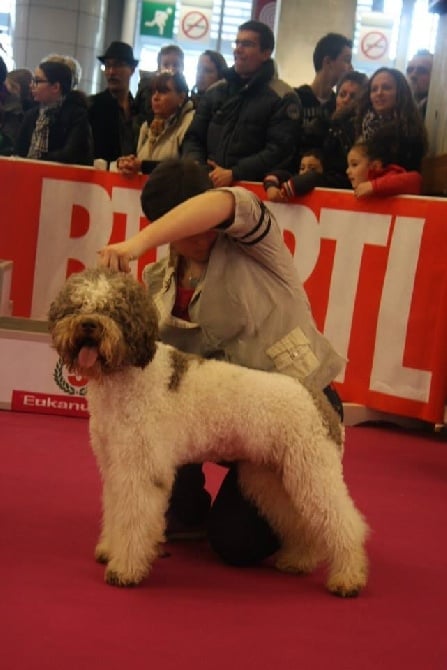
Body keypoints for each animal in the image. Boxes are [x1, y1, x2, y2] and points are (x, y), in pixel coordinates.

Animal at [50, 268, 372, 600]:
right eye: (77, 305)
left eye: (114, 309)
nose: (89, 324)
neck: (126, 375)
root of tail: (314, 395)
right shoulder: (115, 464)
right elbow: (116, 510)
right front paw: (108, 550)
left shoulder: (140, 469)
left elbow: (133, 518)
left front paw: (124, 569)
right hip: (272, 476)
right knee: (300, 520)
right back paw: (299, 560)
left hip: (312, 471)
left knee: (344, 522)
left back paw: (348, 578)